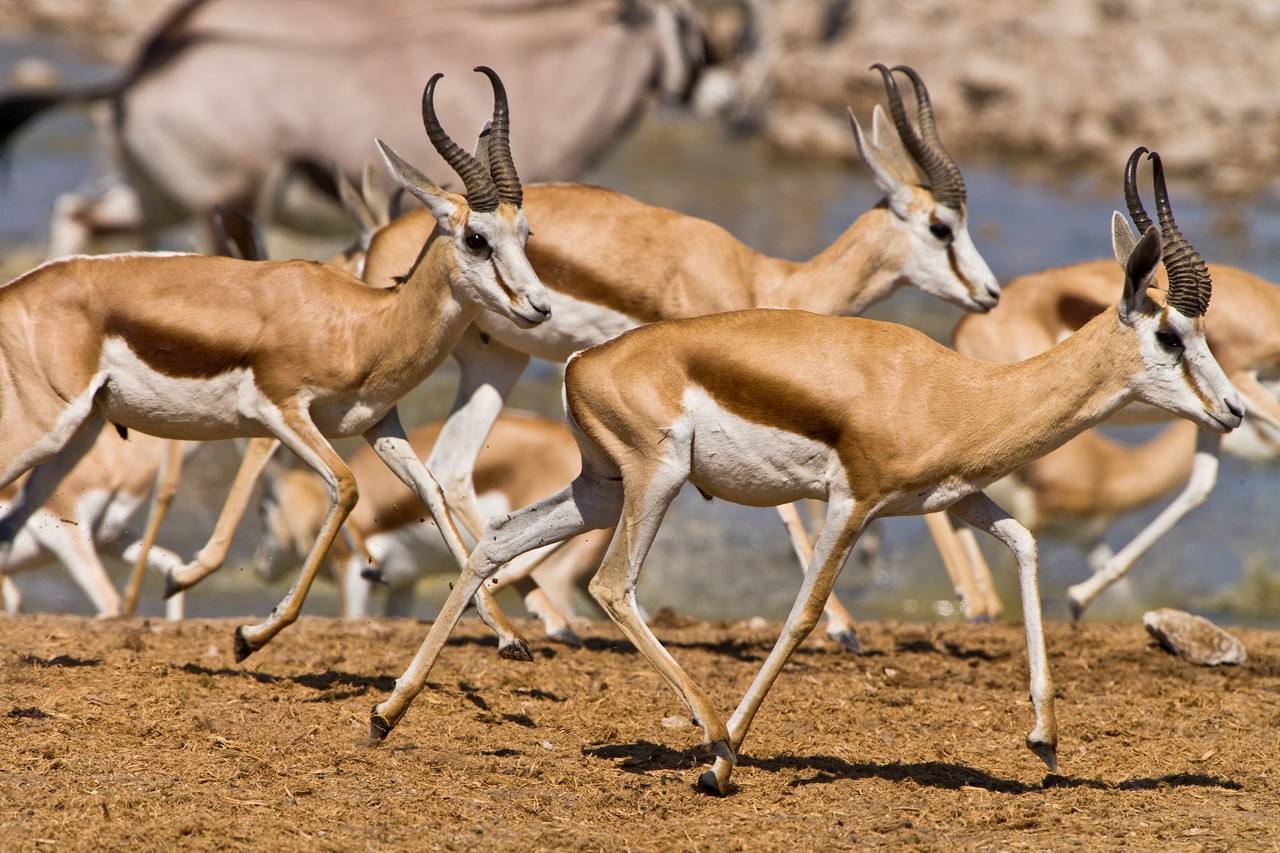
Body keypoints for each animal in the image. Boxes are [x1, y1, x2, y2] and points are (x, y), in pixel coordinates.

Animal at [0, 0, 711, 253]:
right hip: (225, 207)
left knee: (79, 216)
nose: (732, 104)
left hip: (158, 199)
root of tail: (146, 66)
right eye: (692, 26)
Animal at [157, 64, 998, 650]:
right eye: (943, 225)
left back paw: (522, 613)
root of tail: (379, 237)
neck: (765, 277)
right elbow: (792, 508)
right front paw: (846, 628)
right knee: (274, 444)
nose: (989, 293)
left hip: (495, 363)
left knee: (449, 467)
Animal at [366, 149, 1244, 794]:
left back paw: (387, 712)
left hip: (599, 488)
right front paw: (724, 764)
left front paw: (1045, 739)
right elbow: (804, 612)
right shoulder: (852, 502)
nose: (1235, 410)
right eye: (1171, 334)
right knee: (612, 585)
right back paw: (715, 741)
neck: (959, 389)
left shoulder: (952, 500)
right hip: (655, 481)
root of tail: (587, 360)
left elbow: (1025, 544)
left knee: (498, 540)